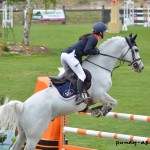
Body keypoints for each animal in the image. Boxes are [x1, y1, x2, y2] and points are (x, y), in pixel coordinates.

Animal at [0, 33, 144, 149]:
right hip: (34, 135)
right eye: (136, 50)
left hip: (23, 134)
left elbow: (104, 104)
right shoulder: (100, 94)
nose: (140, 67)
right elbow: (113, 102)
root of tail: (23, 106)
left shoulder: (96, 98)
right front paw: (101, 111)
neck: (101, 66)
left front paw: (95, 110)